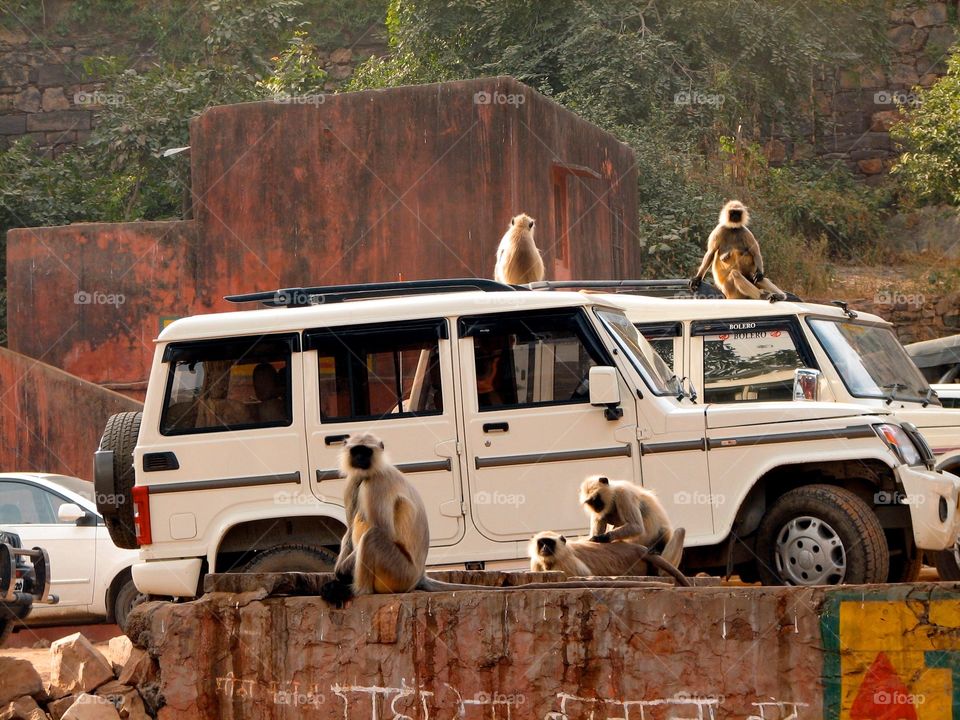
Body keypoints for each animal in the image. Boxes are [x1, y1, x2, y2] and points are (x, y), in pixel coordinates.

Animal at [318, 434, 672, 608]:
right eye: (357, 451)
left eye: (366, 451)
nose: (360, 458)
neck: (370, 471)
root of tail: (419, 575)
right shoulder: (355, 480)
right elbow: (348, 530)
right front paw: (337, 571)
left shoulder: (374, 482)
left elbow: (380, 528)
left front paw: (343, 576)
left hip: (398, 574)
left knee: (373, 536)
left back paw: (359, 592)